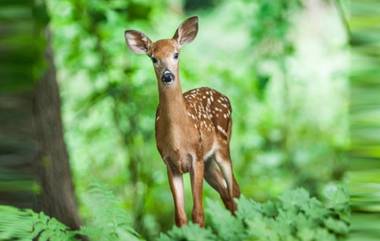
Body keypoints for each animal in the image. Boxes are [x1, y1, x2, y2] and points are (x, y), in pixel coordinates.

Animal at [124, 16, 240, 227]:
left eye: (176, 54)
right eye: (153, 58)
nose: (167, 76)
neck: (178, 140)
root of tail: (225, 97)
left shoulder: (196, 157)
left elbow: (198, 213)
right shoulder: (170, 164)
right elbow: (180, 216)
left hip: (222, 146)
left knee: (234, 189)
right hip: (209, 163)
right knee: (226, 194)